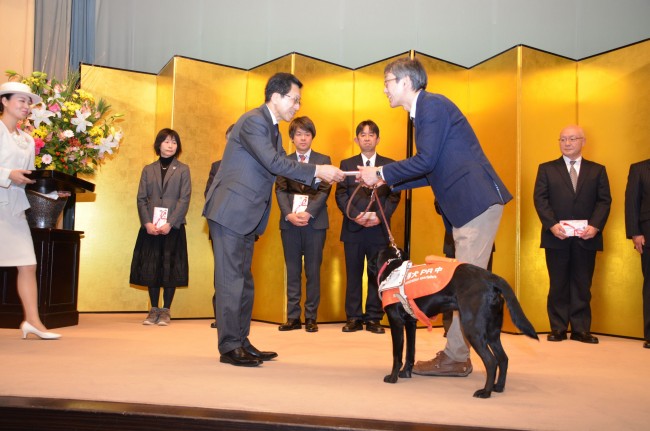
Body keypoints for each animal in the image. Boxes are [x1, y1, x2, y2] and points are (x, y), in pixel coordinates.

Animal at [372, 248, 536, 400]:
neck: (392, 269)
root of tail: (491, 277)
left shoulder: (396, 322)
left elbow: (397, 355)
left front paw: (392, 378)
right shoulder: (411, 323)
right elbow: (410, 353)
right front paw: (405, 373)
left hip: (472, 329)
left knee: (491, 361)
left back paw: (485, 392)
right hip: (492, 332)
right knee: (503, 358)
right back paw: (499, 387)